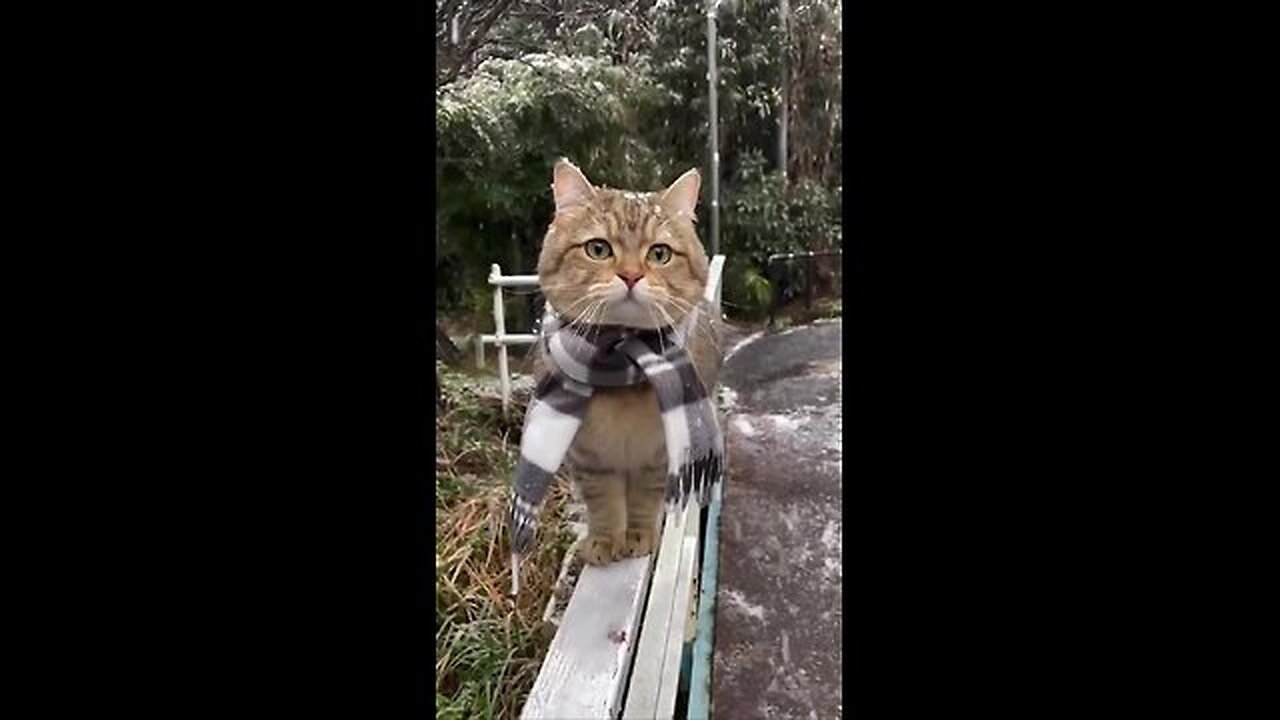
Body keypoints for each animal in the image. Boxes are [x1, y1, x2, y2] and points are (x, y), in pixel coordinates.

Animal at [535, 159, 727, 563]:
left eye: (659, 254)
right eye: (598, 249)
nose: (631, 275)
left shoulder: (657, 454)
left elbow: (643, 497)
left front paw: (638, 535)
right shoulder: (590, 458)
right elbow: (603, 503)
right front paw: (605, 539)